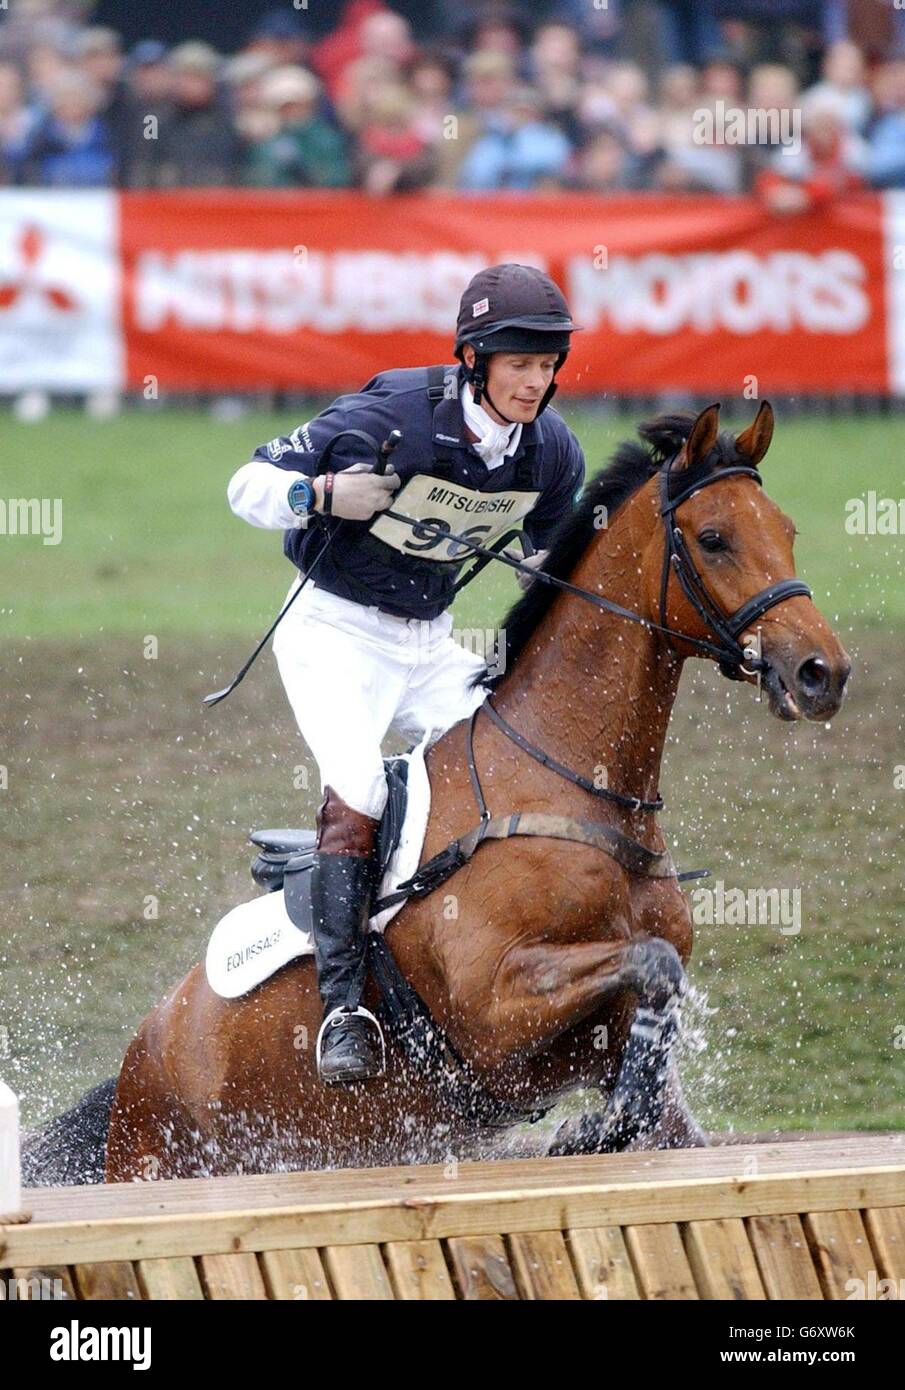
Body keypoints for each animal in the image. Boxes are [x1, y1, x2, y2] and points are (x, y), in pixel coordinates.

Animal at [99, 405, 850, 1184]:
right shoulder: (494, 1011)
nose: (822, 672)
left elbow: (651, 1065)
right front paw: (581, 1135)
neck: (575, 781)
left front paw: (592, 1129)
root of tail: (144, 1050)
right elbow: (651, 962)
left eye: (787, 530)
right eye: (713, 539)